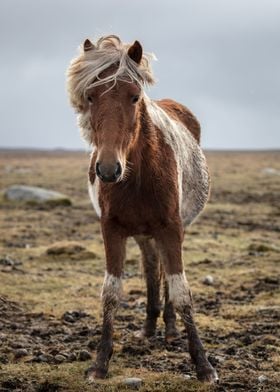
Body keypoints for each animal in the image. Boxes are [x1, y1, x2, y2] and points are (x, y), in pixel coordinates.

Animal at [67, 35, 219, 384]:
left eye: (134, 96)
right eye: (91, 96)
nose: (108, 169)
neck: (138, 175)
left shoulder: (171, 229)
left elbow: (181, 291)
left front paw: (203, 364)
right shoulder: (112, 230)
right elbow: (111, 293)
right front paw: (100, 363)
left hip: (168, 231)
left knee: (163, 274)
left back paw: (170, 329)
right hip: (142, 234)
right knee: (152, 268)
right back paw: (150, 327)